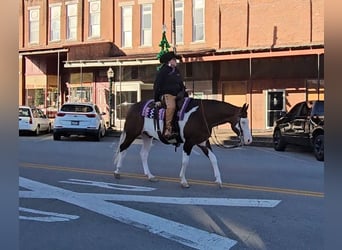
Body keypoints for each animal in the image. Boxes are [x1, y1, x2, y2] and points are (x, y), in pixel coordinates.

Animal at [113, 97, 252, 188]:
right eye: (243, 121)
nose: (249, 140)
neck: (201, 116)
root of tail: (133, 107)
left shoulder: (202, 142)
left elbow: (213, 159)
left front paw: (218, 180)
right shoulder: (188, 143)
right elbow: (185, 161)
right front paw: (184, 181)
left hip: (147, 136)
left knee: (143, 154)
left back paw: (150, 176)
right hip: (132, 133)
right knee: (123, 148)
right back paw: (117, 172)